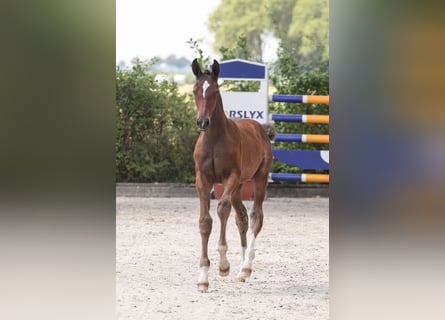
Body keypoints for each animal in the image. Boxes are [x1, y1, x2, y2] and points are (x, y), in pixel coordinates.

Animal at [191, 58, 274, 292]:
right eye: (195, 90)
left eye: (214, 91)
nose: (202, 122)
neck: (214, 139)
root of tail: (261, 128)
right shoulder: (202, 179)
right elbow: (205, 221)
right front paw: (203, 278)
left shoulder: (231, 177)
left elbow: (222, 210)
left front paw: (223, 265)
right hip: (239, 188)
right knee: (242, 217)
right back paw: (242, 268)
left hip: (258, 179)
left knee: (256, 216)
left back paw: (246, 267)